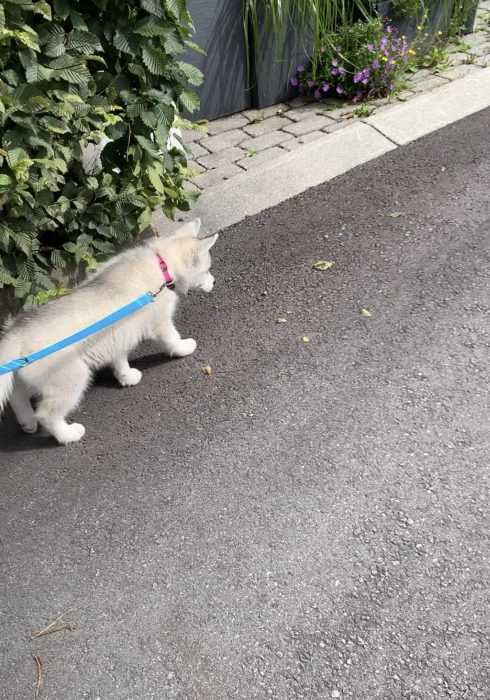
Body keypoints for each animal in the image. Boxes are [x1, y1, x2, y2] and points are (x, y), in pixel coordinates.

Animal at [0, 220, 218, 442]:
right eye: (207, 269)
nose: (215, 282)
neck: (162, 265)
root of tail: (16, 331)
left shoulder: (117, 336)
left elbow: (119, 359)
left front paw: (126, 376)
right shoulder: (159, 322)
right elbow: (172, 338)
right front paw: (183, 347)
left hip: (27, 377)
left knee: (16, 397)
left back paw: (27, 422)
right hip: (71, 376)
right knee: (46, 415)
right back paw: (67, 434)